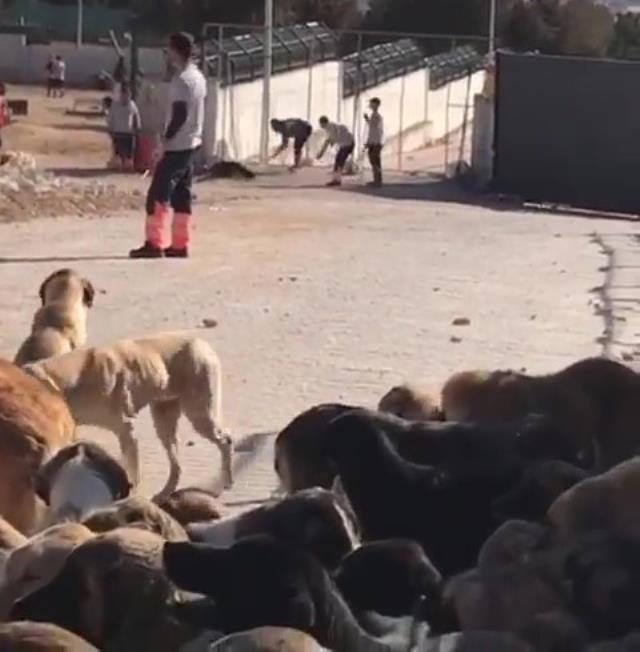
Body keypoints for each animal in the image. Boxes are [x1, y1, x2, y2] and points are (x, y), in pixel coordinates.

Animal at [23, 334, 232, 502]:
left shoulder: (126, 430)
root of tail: (201, 343)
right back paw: (165, 493)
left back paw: (225, 482)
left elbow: (133, 475)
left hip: (200, 415)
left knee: (225, 440)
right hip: (164, 420)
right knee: (176, 465)